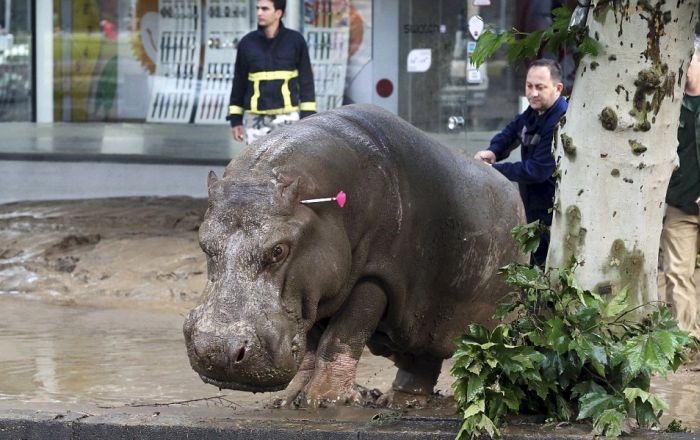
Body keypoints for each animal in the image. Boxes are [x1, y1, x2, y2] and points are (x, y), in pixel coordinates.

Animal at [183, 103, 528, 406]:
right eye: (203, 242)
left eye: (279, 250)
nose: (217, 351)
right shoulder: (312, 294)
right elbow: (312, 343)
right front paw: (290, 400)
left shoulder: (374, 276)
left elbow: (342, 335)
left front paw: (323, 400)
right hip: (416, 322)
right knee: (420, 360)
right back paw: (399, 402)